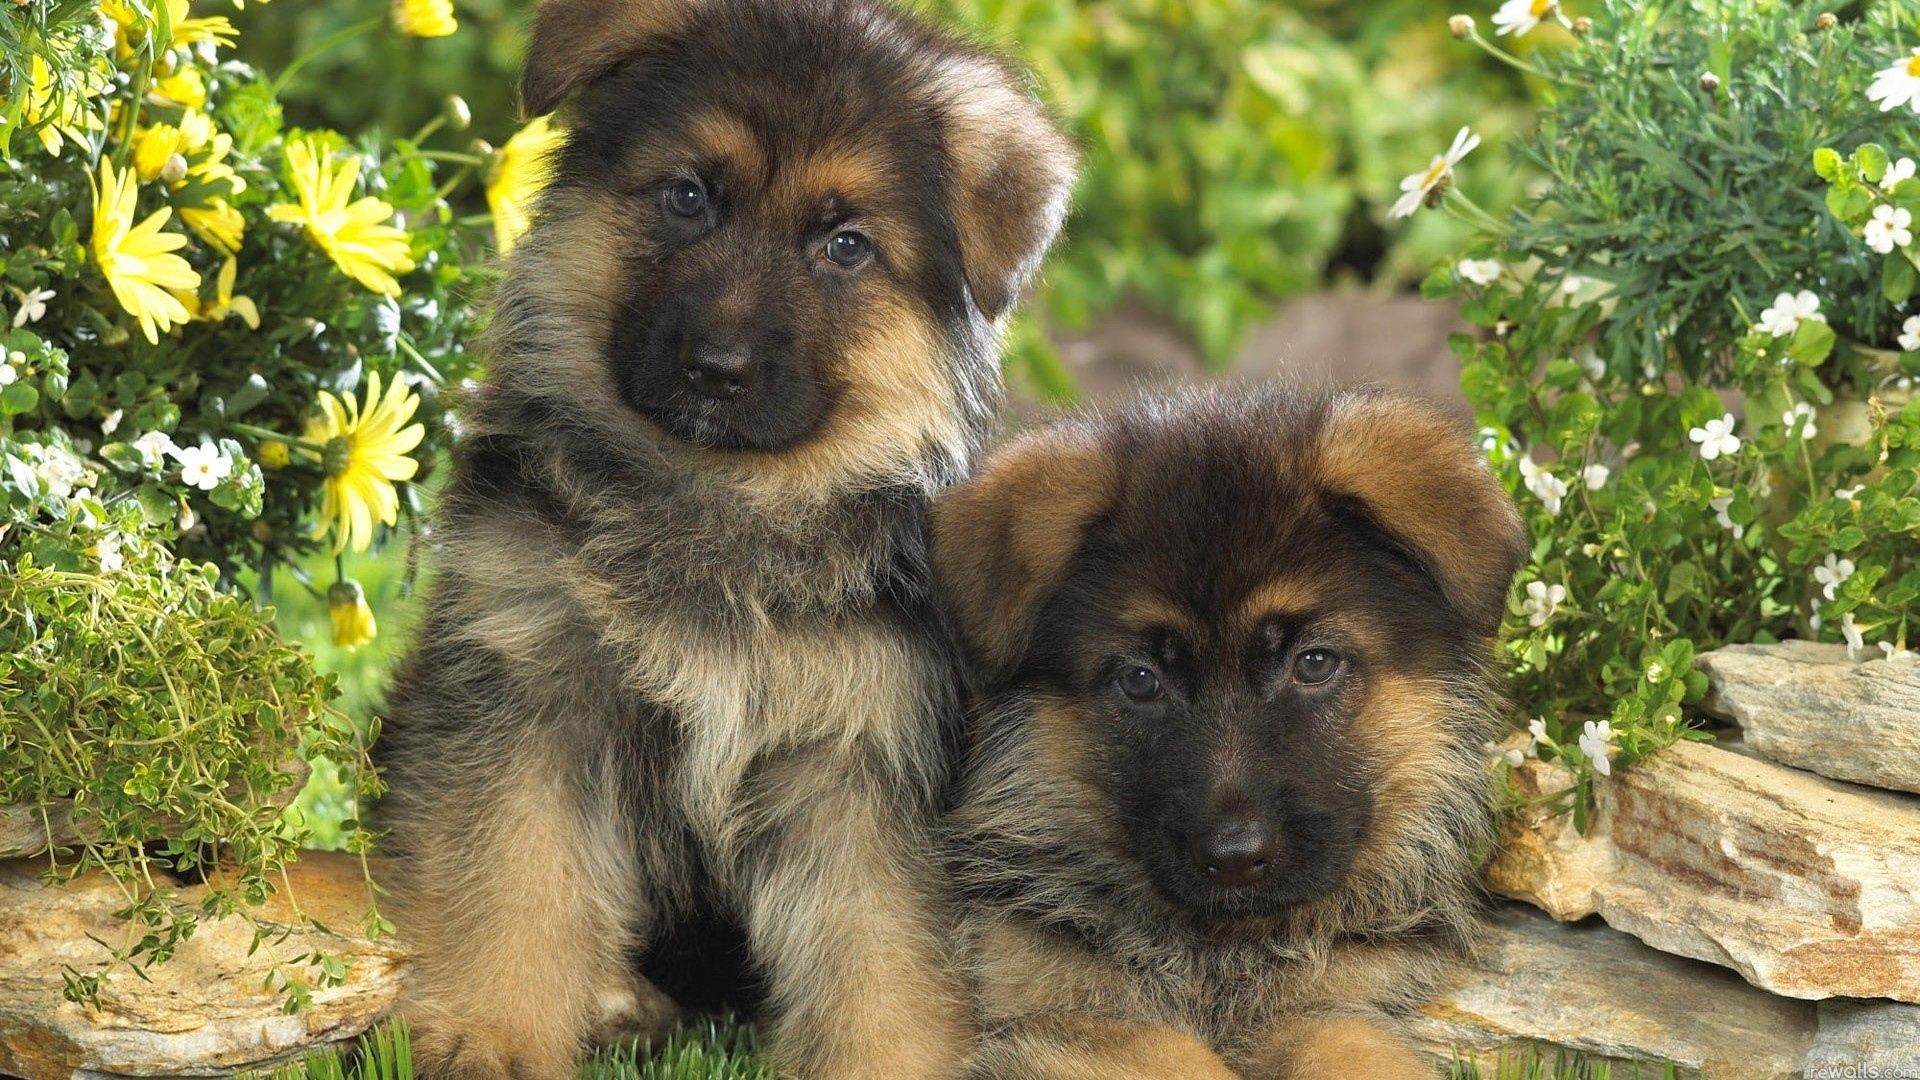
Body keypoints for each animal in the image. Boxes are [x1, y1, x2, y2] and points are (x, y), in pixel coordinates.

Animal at [370, 2, 1067, 1076]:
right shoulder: (528, 696)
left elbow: (884, 962)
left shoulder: (861, 762)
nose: (716, 367)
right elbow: (512, 881)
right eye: (689, 196)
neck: (718, 500)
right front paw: (490, 1034)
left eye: (847, 246)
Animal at [933, 386, 1528, 1076]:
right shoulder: (1060, 1013)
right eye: (1140, 680)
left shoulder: (1333, 1003)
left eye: (1314, 663)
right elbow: (1172, 1054)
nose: (1235, 858)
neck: (1224, 951)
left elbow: (1350, 1044)